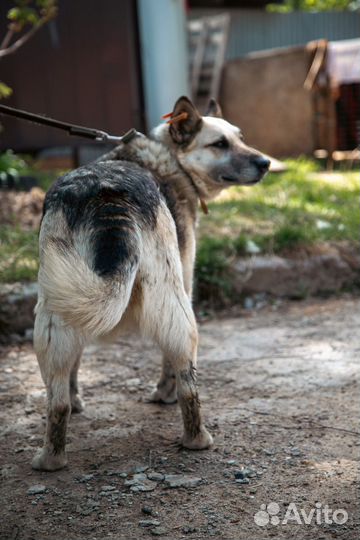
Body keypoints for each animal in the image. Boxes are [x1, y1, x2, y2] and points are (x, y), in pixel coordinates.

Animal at [31, 96, 270, 468]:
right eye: (220, 144)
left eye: (241, 138)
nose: (266, 163)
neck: (170, 157)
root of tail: (108, 193)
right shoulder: (185, 285)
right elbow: (169, 365)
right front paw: (164, 393)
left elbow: (75, 368)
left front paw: (76, 399)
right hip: (176, 307)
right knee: (189, 384)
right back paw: (196, 438)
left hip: (53, 317)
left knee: (56, 402)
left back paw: (52, 458)